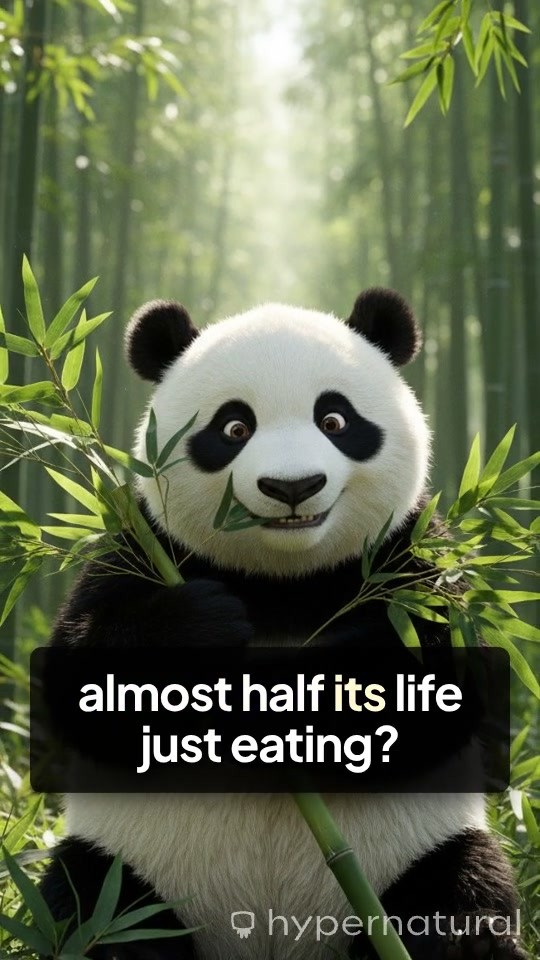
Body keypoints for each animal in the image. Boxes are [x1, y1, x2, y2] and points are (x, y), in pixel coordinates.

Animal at [40, 289, 526, 960]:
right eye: (234, 428)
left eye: (335, 421)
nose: (292, 487)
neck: (284, 582)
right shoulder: (140, 548)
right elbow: (79, 684)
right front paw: (205, 626)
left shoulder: (414, 561)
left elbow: (446, 690)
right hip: (129, 872)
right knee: (91, 906)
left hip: (421, 858)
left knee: (460, 900)